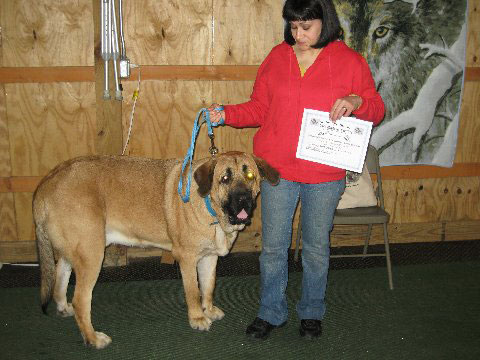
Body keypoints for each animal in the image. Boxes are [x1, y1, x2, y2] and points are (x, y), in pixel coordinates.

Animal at [33, 151, 280, 348]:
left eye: (250, 176)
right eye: (225, 178)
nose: (243, 198)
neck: (210, 206)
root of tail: (46, 182)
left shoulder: (209, 259)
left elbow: (208, 288)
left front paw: (208, 310)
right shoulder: (187, 259)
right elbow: (193, 292)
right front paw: (197, 318)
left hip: (74, 251)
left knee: (60, 278)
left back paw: (64, 308)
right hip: (91, 254)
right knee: (81, 300)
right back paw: (93, 338)